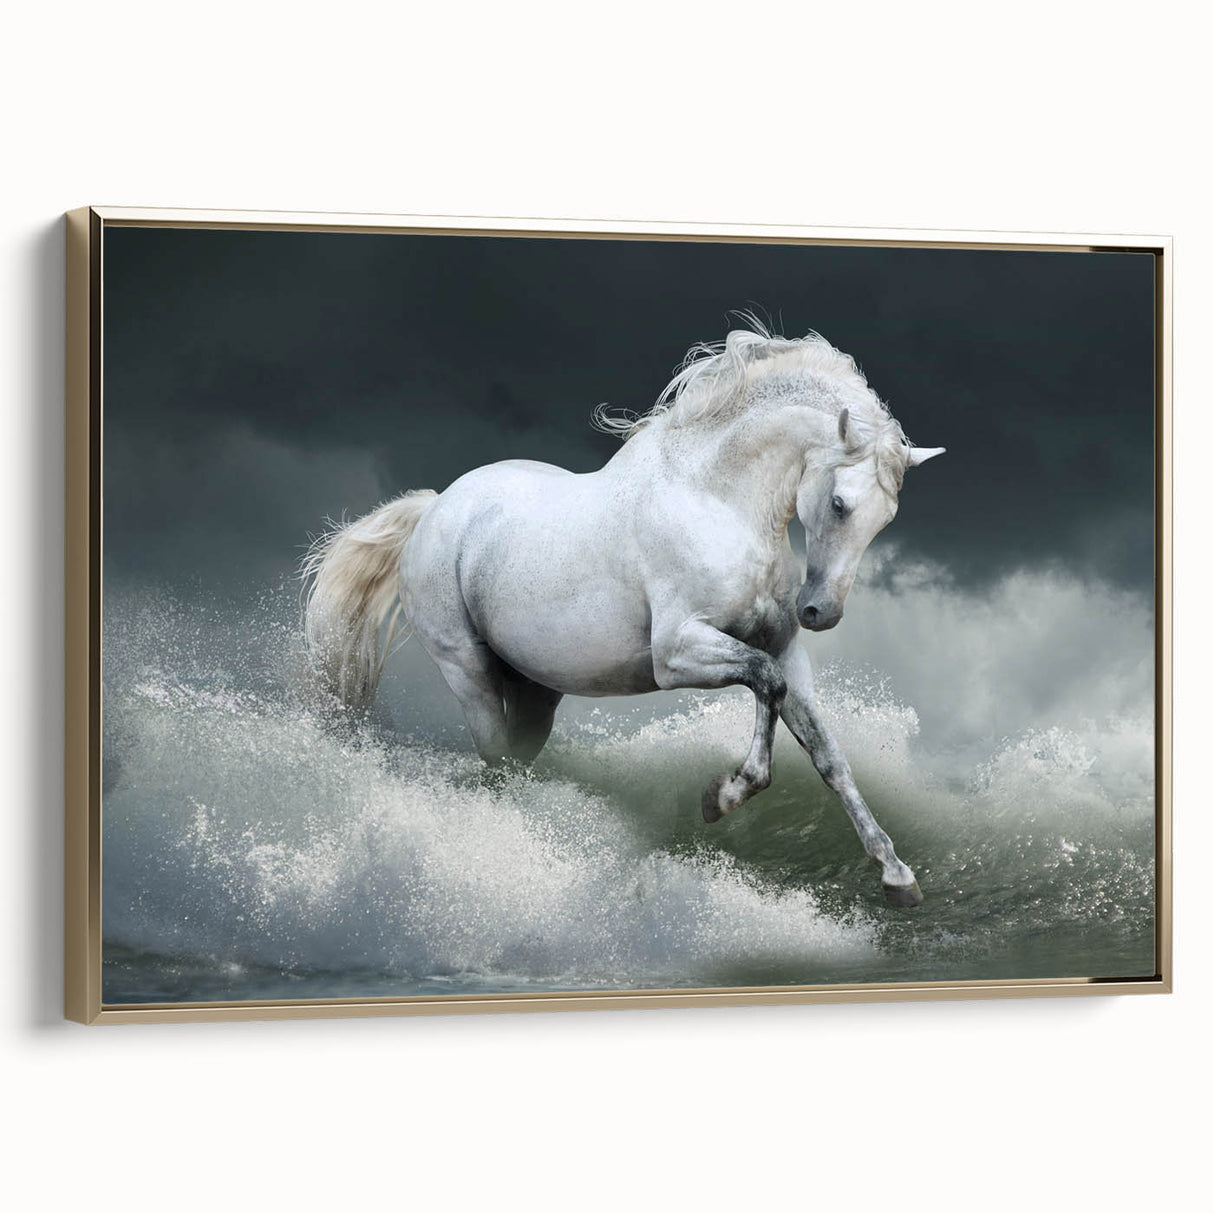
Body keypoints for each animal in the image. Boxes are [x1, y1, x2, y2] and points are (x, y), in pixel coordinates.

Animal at [303, 323, 944, 907]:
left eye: (886, 518)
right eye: (839, 504)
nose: (820, 612)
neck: (715, 500)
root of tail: (435, 508)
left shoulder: (786, 649)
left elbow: (826, 752)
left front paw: (896, 875)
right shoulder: (677, 654)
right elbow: (765, 683)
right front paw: (723, 796)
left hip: (535, 691)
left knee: (517, 760)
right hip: (468, 672)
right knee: (496, 762)